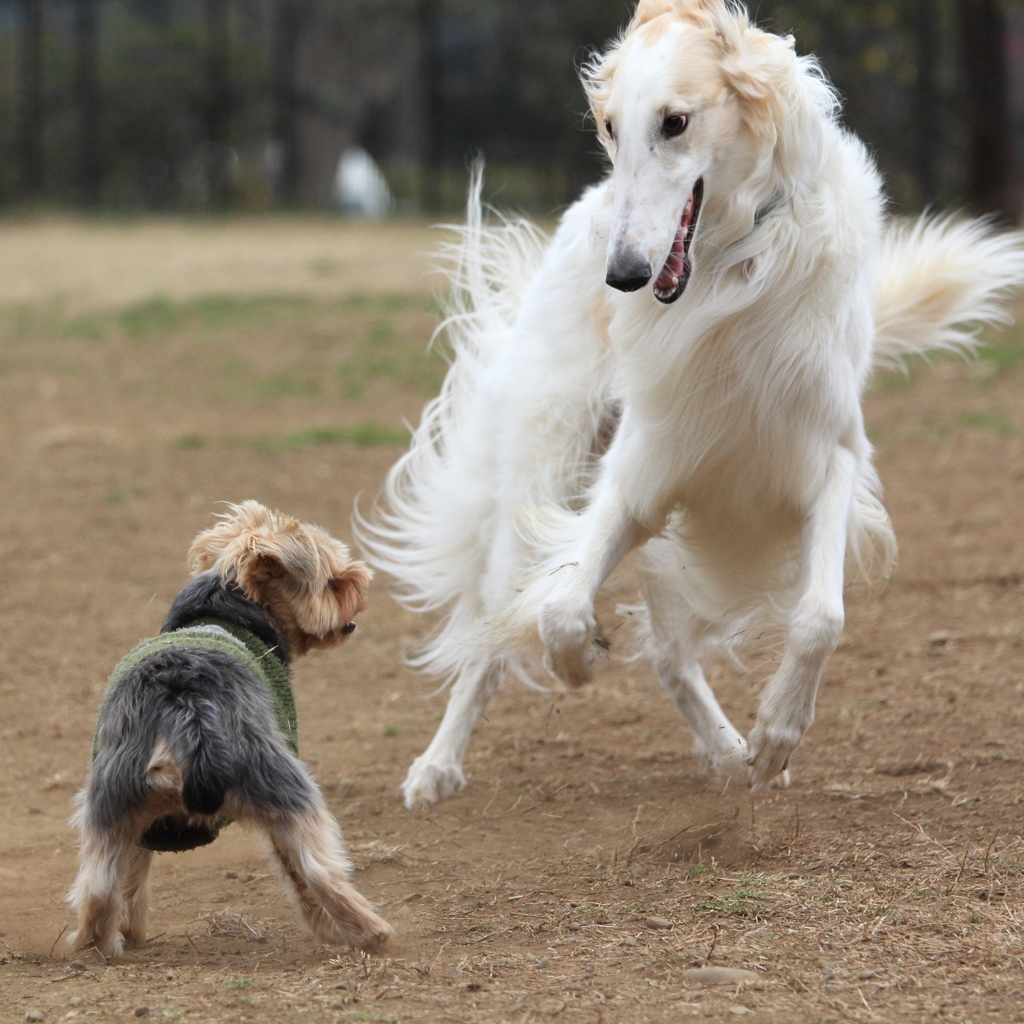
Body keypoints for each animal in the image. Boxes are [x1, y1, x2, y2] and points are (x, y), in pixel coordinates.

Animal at [68, 503, 393, 958]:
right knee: (319, 870)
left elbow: (132, 877)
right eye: (334, 581)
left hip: (110, 799)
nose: (362, 586)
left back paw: (93, 945)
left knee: (97, 885)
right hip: (282, 781)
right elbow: (295, 872)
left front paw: (131, 932)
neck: (226, 610)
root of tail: (185, 705)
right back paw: (371, 932)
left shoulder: (141, 830)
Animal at [356, 0, 1019, 806]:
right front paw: (581, 658)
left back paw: (732, 752)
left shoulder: (825, 462)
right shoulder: (640, 474)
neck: (731, 268)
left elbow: (820, 618)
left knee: (672, 658)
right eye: (611, 127)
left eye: (675, 122)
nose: (625, 275)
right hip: (547, 472)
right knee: (493, 633)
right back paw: (437, 765)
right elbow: (558, 609)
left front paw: (777, 733)